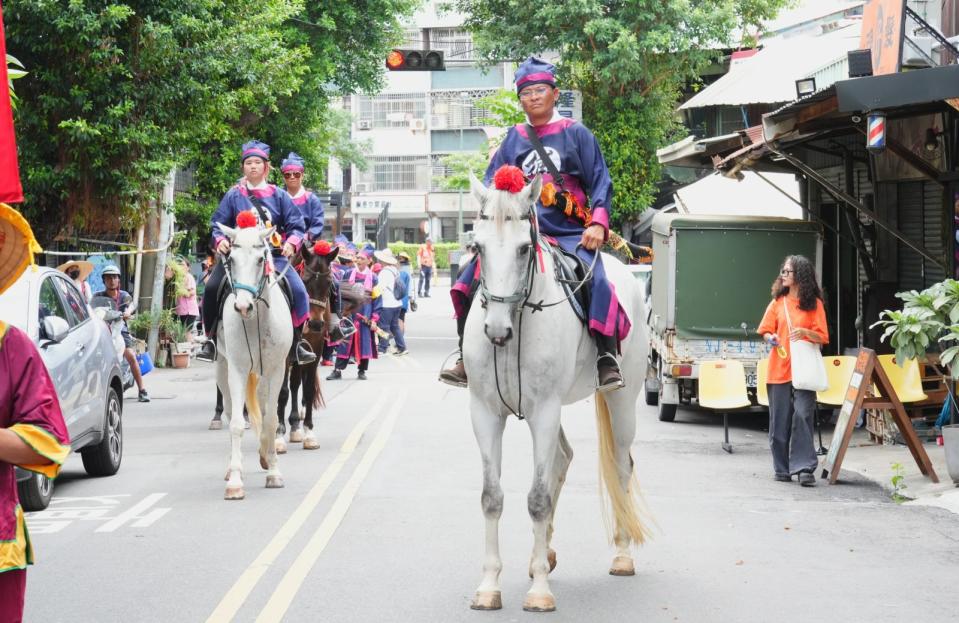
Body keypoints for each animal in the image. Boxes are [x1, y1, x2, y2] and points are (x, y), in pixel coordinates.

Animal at [216, 224, 290, 502]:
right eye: (231, 260)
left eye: (260, 260)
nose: (242, 306)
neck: (256, 320)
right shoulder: (237, 369)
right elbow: (237, 423)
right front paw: (235, 481)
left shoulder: (276, 370)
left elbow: (271, 420)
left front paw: (274, 473)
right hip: (223, 367)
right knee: (229, 410)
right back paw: (231, 468)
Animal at [464, 173, 652, 612]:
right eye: (477, 247)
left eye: (522, 249)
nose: (496, 330)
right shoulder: (485, 412)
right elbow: (492, 496)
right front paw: (489, 585)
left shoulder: (544, 410)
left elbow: (537, 497)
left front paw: (538, 591)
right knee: (561, 460)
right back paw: (545, 553)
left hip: (621, 400)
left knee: (621, 466)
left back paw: (621, 554)